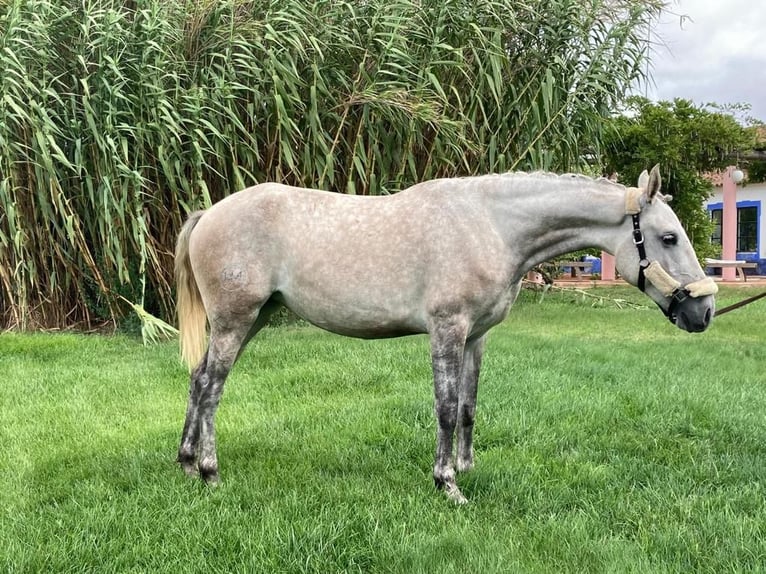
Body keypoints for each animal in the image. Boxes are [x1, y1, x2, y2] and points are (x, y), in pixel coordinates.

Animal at [177, 166, 716, 504]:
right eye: (669, 237)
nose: (704, 311)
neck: (491, 225)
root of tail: (209, 214)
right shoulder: (447, 330)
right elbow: (445, 408)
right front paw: (447, 484)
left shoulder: (476, 337)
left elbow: (469, 408)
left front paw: (468, 469)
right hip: (236, 320)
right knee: (213, 387)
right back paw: (209, 473)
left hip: (253, 319)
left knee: (199, 380)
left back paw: (184, 462)